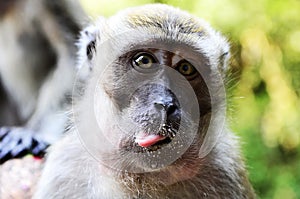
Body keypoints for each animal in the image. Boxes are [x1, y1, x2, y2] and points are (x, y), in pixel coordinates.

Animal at [33, 3, 255, 198]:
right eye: (144, 61)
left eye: (186, 68)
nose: (166, 104)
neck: (142, 176)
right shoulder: (65, 168)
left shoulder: (226, 168)